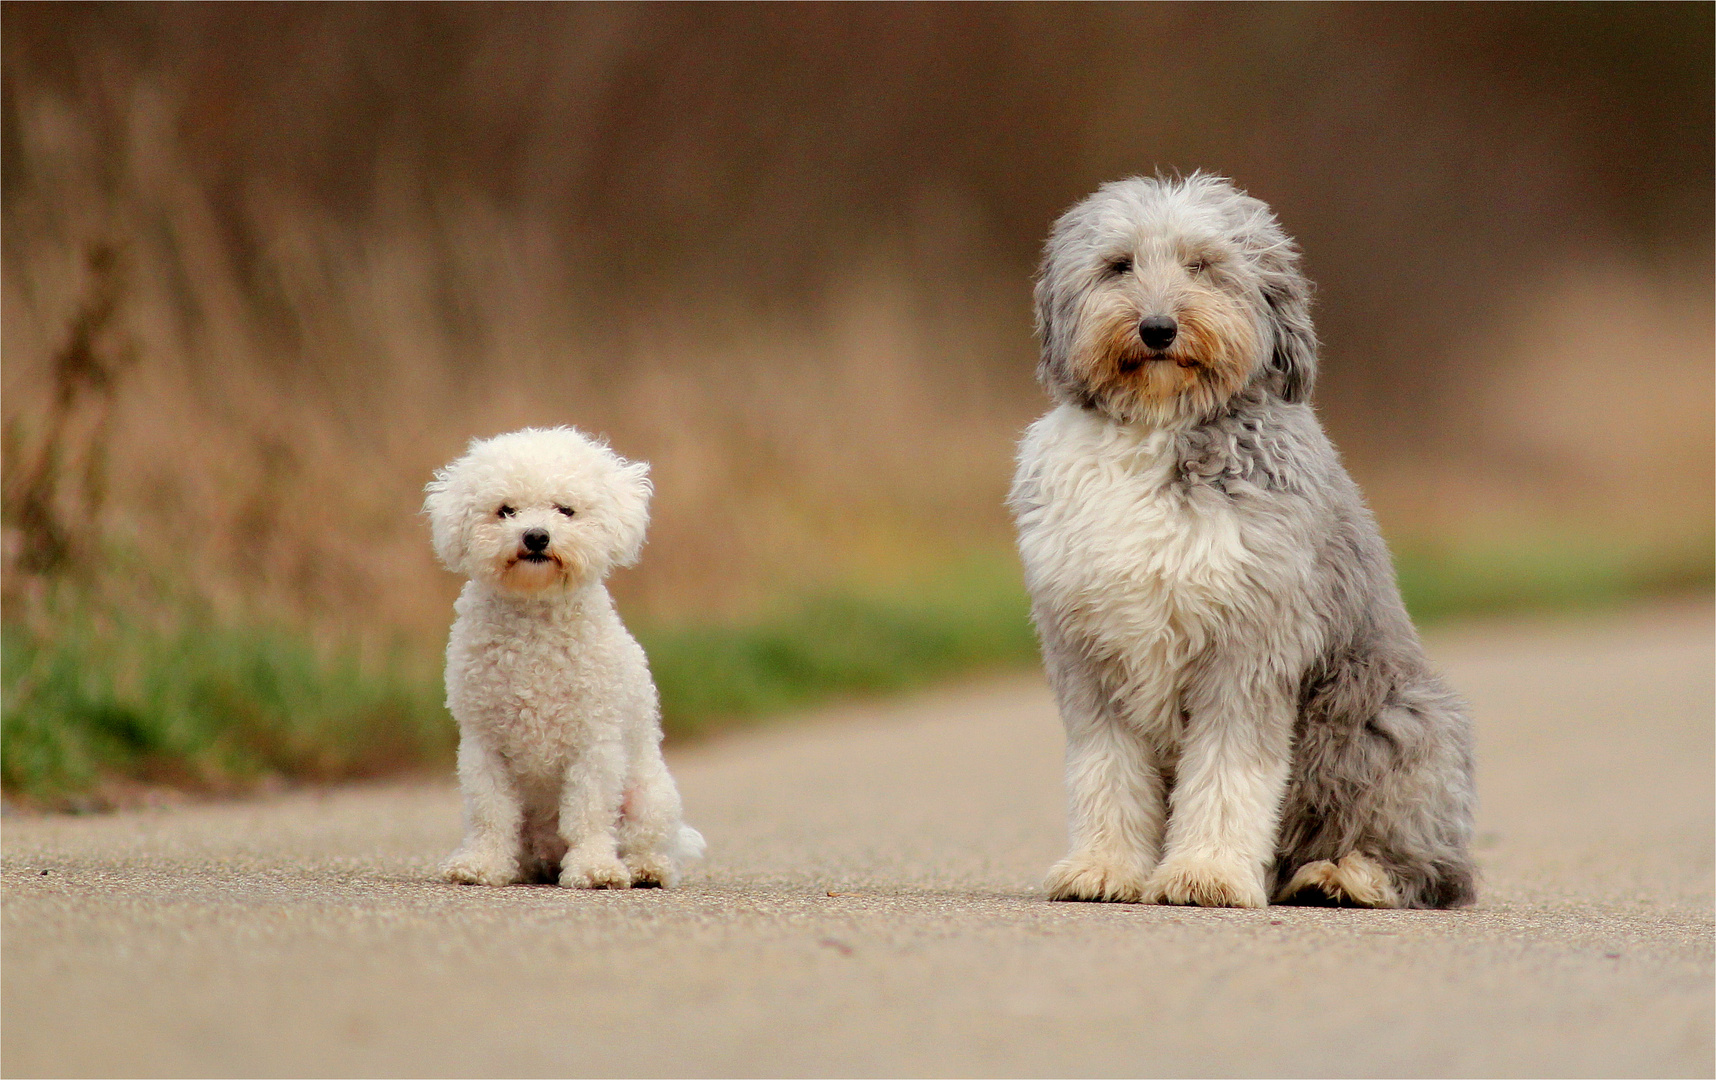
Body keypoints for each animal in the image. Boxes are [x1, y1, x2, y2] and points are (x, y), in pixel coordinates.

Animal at [425, 420, 700, 885]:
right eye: (506, 511)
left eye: (565, 510)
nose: (536, 536)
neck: (536, 618)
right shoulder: (483, 743)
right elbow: (491, 813)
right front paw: (482, 863)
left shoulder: (594, 743)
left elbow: (588, 814)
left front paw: (593, 867)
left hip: (649, 795)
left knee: (647, 840)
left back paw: (645, 868)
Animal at [1002, 176, 1475, 906]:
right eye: (1119, 266)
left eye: (1203, 265)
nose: (1158, 328)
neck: (1158, 428)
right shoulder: (1088, 650)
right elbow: (1106, 768)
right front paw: (1105, 867)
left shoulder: (1251, 643)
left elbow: (1229, 770)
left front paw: (1206, 873)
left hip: (1394, 721)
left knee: (1426, 864)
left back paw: (1343, 876)